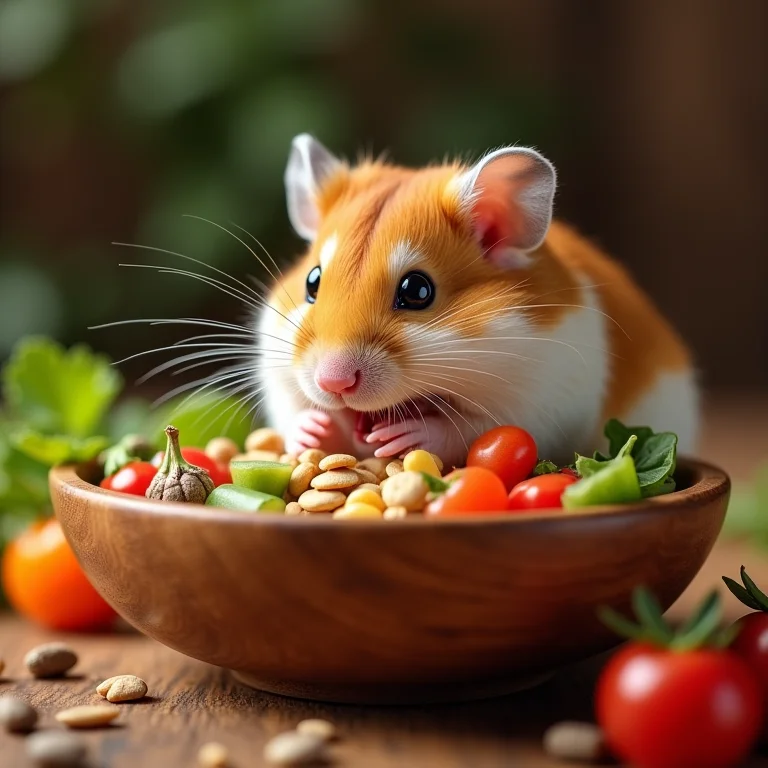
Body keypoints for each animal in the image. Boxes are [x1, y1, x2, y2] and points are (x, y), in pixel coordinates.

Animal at [258, 134, 698, 468]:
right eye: (312, 282)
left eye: (417, 291)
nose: (333, 383)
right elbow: (295, 411)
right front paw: (313, 428)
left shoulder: (540, 402)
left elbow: (469, 430)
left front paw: (406, 434)